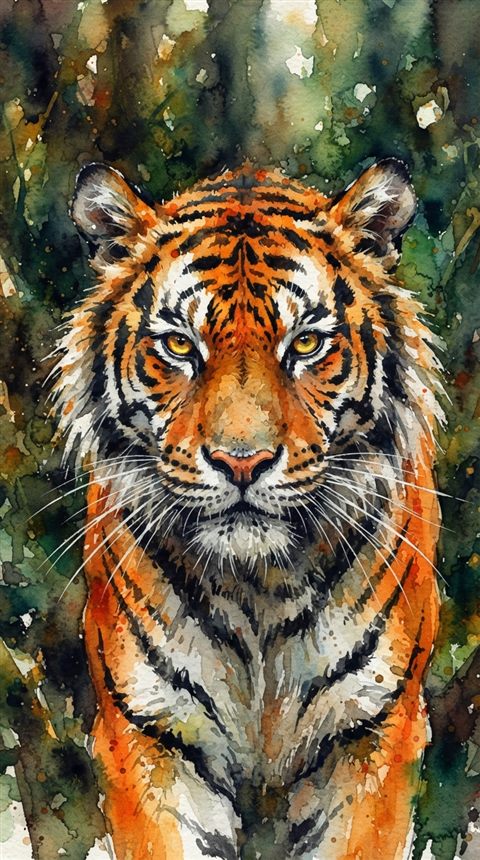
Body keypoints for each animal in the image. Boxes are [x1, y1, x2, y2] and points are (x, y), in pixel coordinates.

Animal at [52, 158, 444, 860]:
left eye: (307, 344)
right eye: (180, 347)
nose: (242, 461)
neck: (259, 585)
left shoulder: (369, 733)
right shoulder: (155, 736)